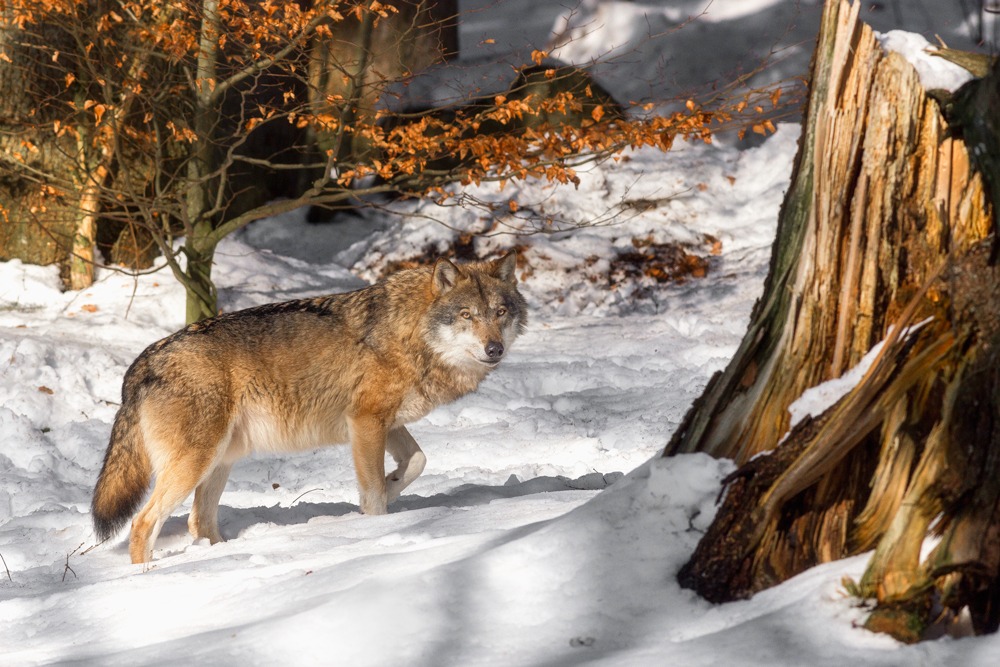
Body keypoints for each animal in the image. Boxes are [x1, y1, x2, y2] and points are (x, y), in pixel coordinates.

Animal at [92, 252, 526, 564]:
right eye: (467, 315)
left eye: (500, 313)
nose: (494, 349)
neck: (410, 333)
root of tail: (143, 360)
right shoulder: (365, 422)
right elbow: (373, 493)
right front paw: (375, 528)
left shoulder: (386, 424)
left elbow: (417, 462)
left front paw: (391, 488)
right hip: (195, 463)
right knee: (143, 522)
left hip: (220, 461)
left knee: (199, 522)